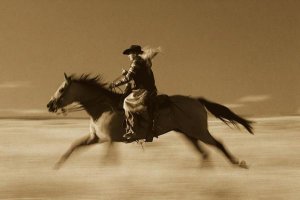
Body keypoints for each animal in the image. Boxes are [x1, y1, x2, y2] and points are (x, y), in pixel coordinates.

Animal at [47, 73, 253, 169]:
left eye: (62, 89)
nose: (50, 105)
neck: (102, 107)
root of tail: (197, 101)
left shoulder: (109, 140)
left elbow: (107, 160)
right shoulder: (95, 139)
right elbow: (73, 147)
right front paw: (57, 166)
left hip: (199, 132)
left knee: (218, 144)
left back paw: (239, 164)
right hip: (188, 134)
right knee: (204, 154)